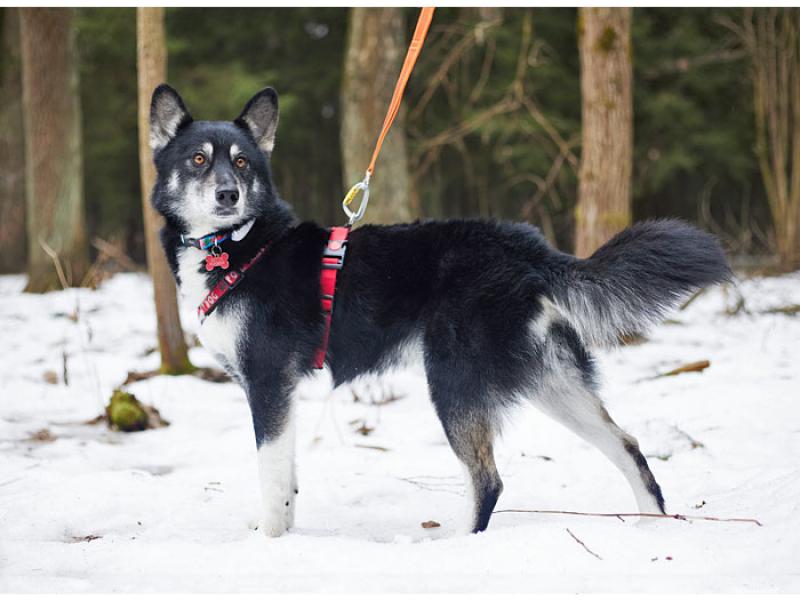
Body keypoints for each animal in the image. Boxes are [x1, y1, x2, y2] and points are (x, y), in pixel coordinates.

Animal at [148, 83, 732, 536]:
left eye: (242, 161)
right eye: (198, 159)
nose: (228, 194)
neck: (238, 245)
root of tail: (526, 246)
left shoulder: (268, 382)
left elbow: (271, 479)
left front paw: (271, 542)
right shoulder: (280, 391)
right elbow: (287, 478)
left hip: (455, 381)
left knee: (489, 479)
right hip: (550, 381)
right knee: (628, 445)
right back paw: (651, 526)